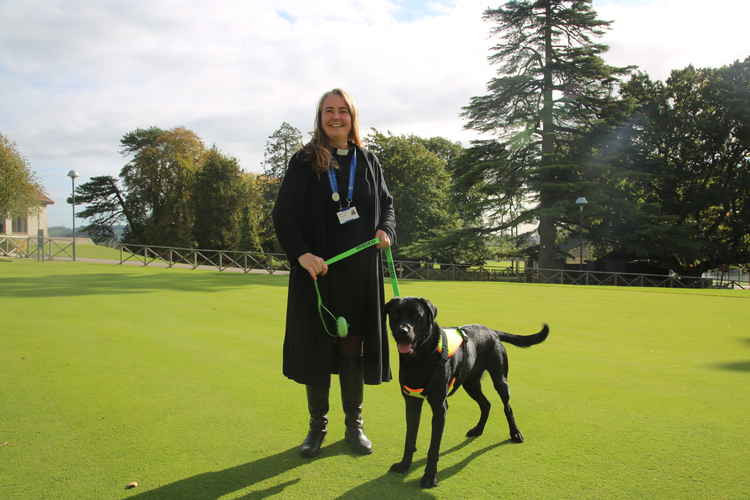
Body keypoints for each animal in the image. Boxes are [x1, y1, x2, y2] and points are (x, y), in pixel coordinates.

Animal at [384, 296, 548, 488]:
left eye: (417, 315)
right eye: (395, 314)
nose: (402, 331)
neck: (419, 359)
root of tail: (492, 331)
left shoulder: (440, 407)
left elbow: (433, 447)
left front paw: (430, 476)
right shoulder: (411, 402)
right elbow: (409, 439)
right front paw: (404, 465)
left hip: (500, 380)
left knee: (507, 407)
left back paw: (515, 433)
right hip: (470, 384)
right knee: (486, 404)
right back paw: (477, 430)